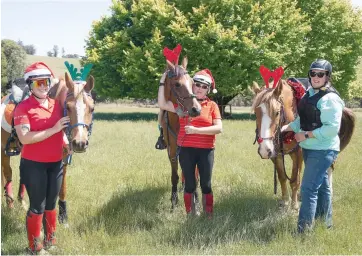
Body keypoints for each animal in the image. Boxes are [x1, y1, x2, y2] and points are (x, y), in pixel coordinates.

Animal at [160, 56, 201, 210]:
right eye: (177, 84)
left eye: (193, 82)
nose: (196, 109)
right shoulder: (172, 151)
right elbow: (175, 175)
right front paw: (174, 200)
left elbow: (193, 174)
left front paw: (196, 199)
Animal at [253, 78, 354, 210]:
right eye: (256, 113)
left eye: (277, 112)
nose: (264, 150)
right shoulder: (276, 155)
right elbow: (282, 177)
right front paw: (285, 201)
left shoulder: (298, 154)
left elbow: (295, 180)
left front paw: (294, 205)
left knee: (328, 168)